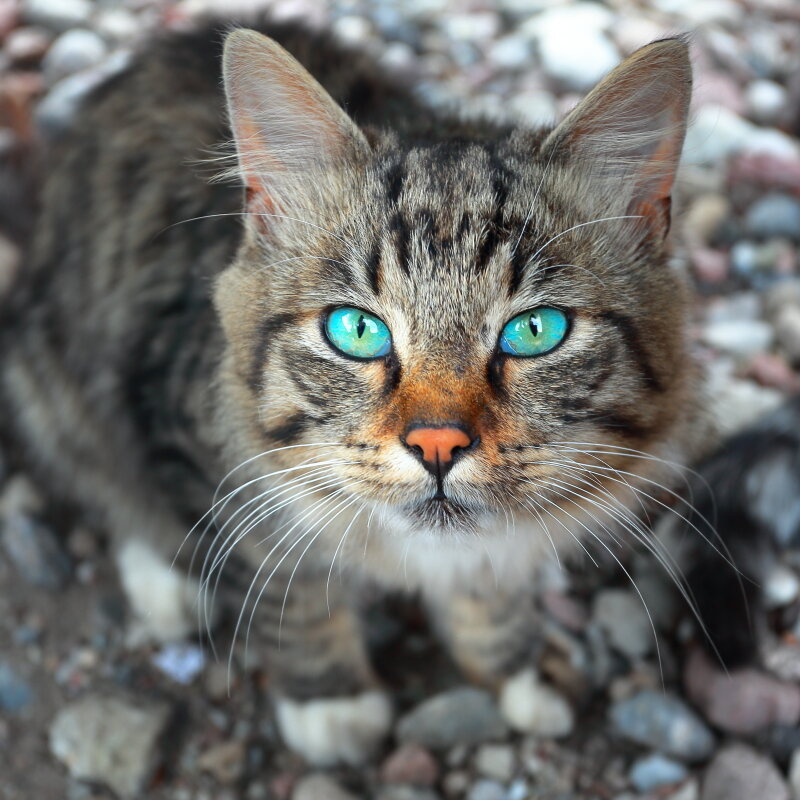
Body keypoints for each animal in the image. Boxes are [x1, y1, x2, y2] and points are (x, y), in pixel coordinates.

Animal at [0, 17, 712, 764]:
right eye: (358, 330)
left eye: (535, 331)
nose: (437, 444)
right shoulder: (188, 437)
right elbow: (288, 591)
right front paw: (331, 701)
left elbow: (490, 595)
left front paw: (516, 666)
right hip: (50, 387)